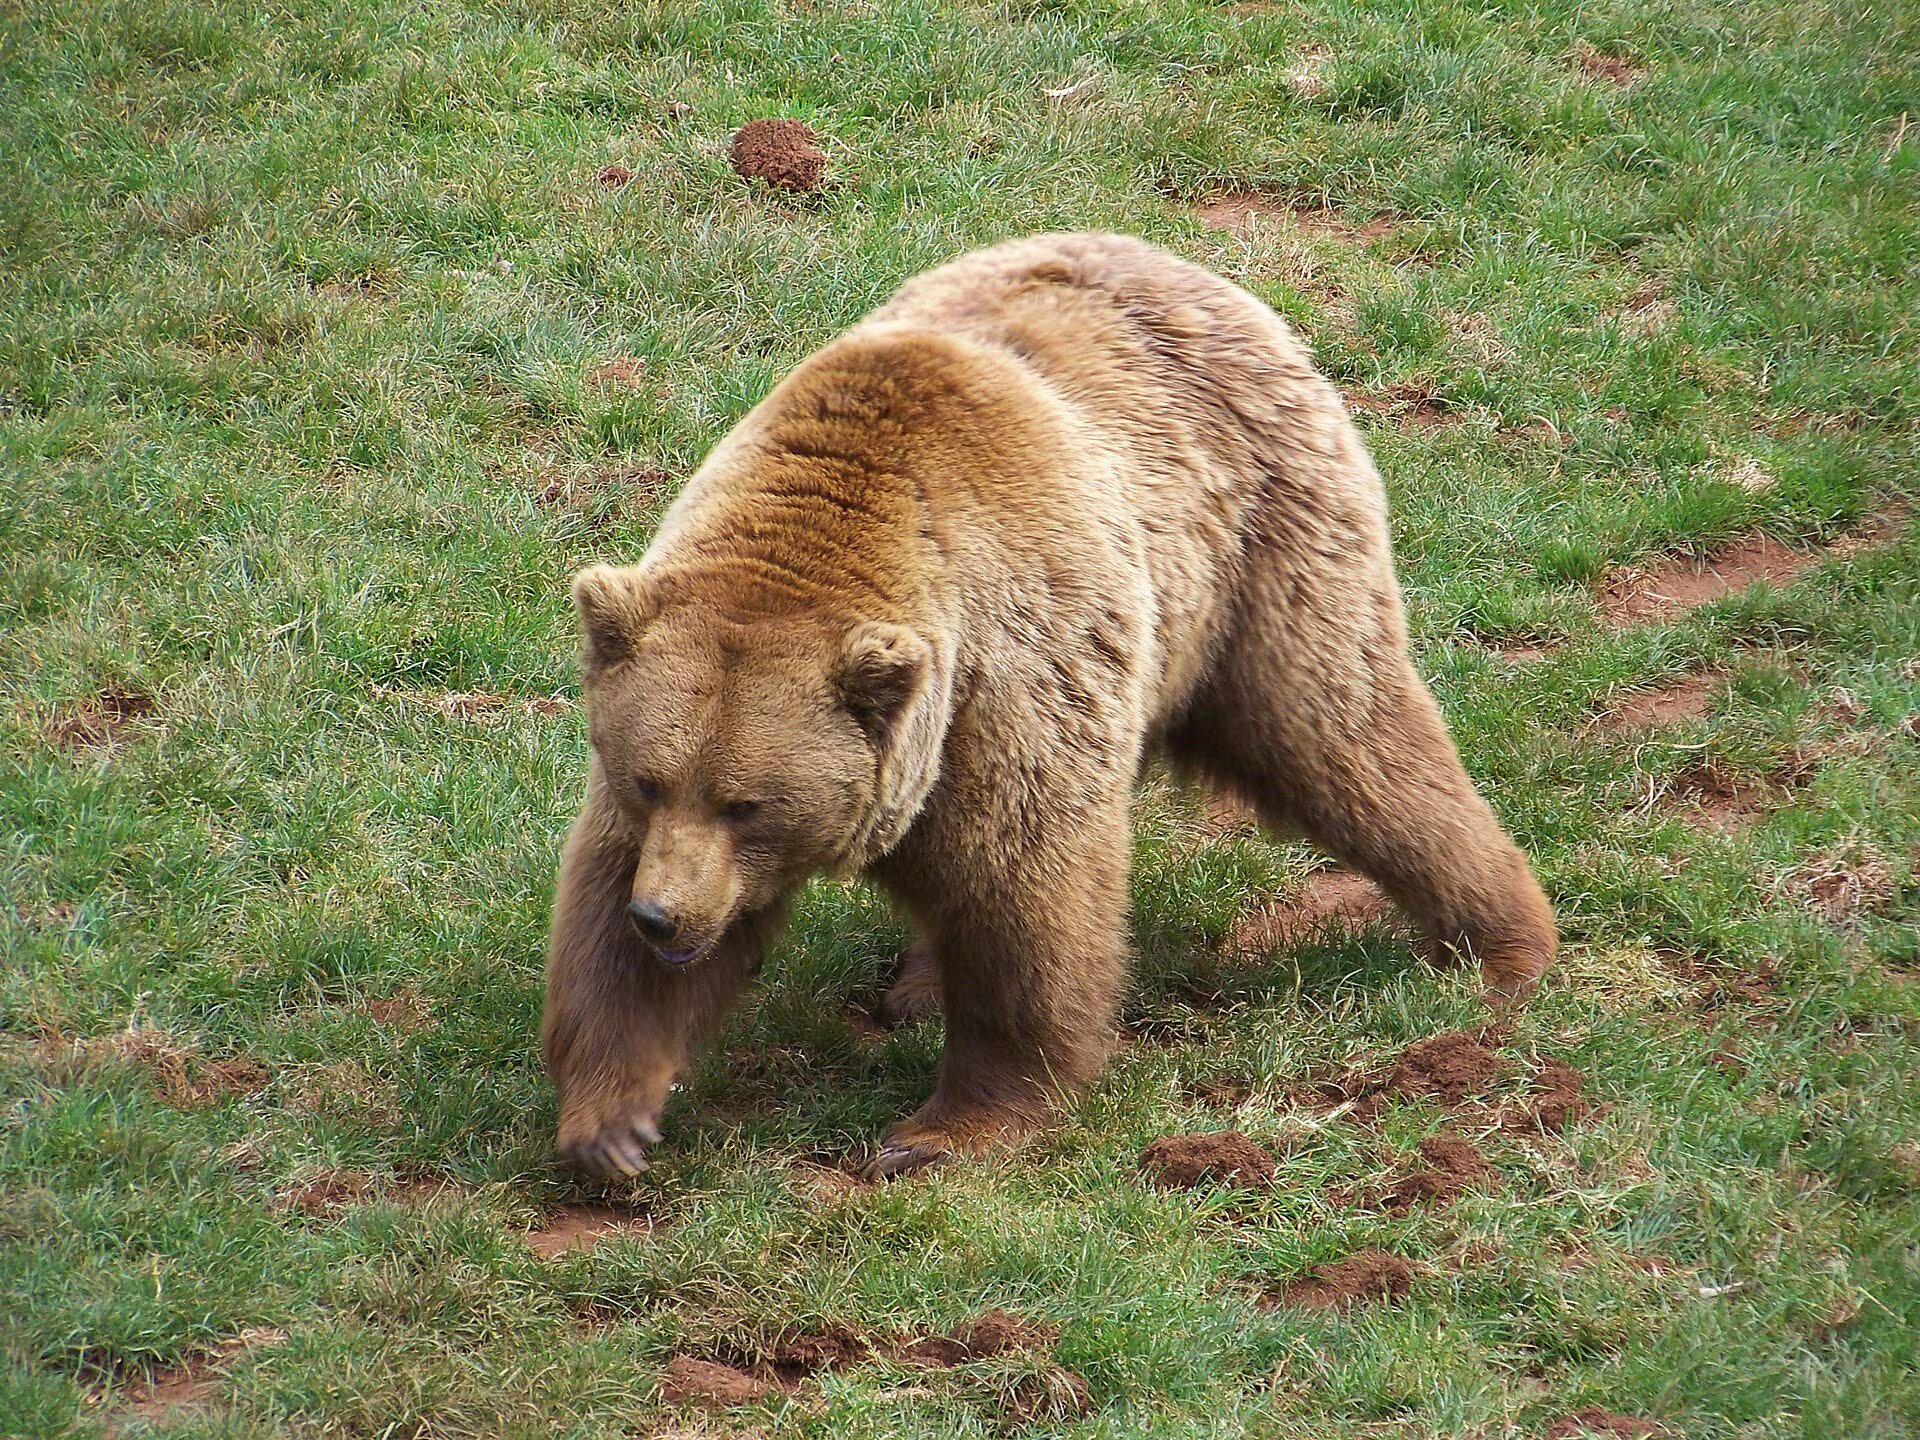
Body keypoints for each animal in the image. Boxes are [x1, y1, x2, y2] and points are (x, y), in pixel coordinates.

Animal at [542, 231, 1557, 1180]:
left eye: (746, 803)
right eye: (649, 781)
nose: (663, 917)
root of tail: (1193, 268)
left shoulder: (1008, 683)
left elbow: (1024, 893)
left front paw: (942, 1129)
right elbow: (601, 904)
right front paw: (611, 1119)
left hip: (1260, 549)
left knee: (1346, 733)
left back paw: (1502, 944)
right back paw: (916, 987)